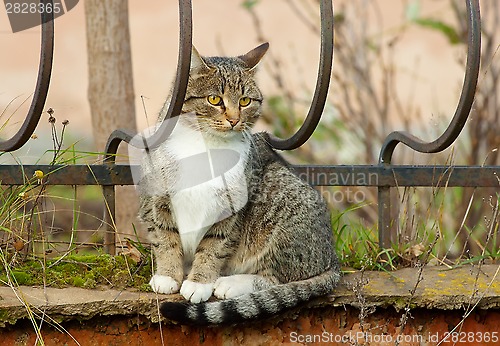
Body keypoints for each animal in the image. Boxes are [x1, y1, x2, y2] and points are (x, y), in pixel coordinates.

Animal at [138, 42, 340, 324]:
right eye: (214, 99)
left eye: (245, 101)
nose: (234, 119)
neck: (205, 144)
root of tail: (333, 260)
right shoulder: (157, 200)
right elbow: (164, 237)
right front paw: (167, 275)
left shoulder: (231, 209)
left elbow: (214, 246)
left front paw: (199, 282)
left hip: (282, 203)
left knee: (277, 279)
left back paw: (231, 284)